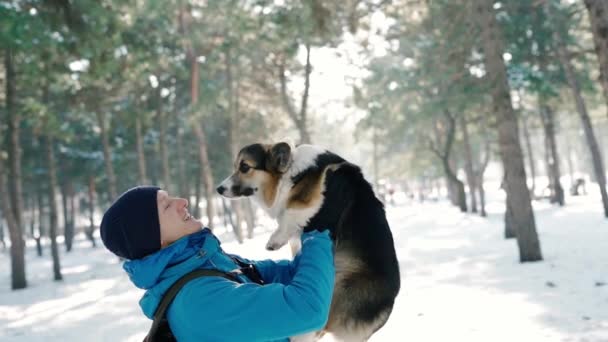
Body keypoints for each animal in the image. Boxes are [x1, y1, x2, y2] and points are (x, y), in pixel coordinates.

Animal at [216, 143, 402, 340]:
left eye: (244, 167)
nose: (219, 189)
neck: (289, 173)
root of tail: (386, 306)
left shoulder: (311, 199)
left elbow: (291, 212)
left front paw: (275, 239)